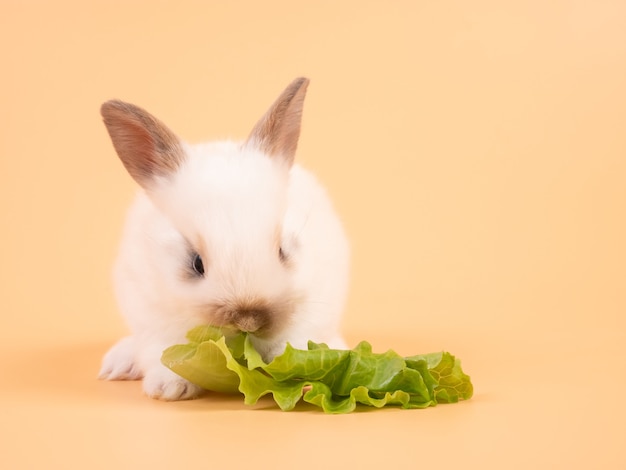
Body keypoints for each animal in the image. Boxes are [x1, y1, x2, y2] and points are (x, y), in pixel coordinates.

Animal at [100, 78, 348, 400]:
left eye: (282, 251)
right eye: (196, 264)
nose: (248, 321)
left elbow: (296, 338)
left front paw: (293, 364)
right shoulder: (153, 317)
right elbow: (164, 353)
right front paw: (170, 388)